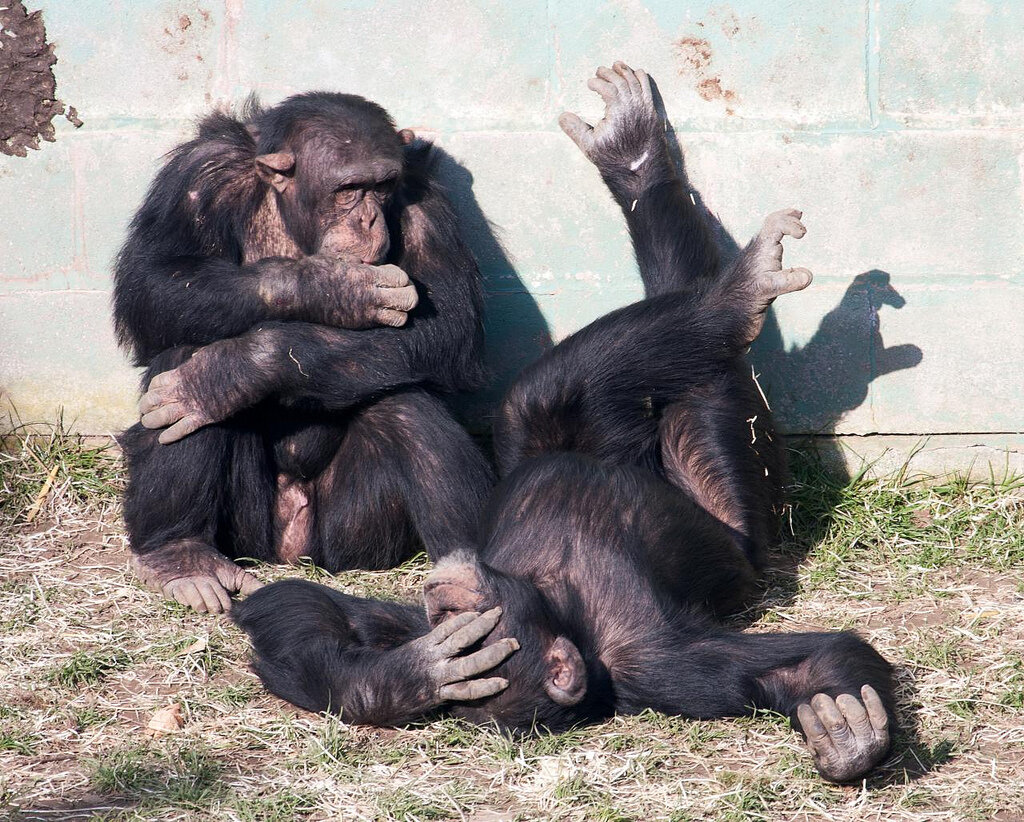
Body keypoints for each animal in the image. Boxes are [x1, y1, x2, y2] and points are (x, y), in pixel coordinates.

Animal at [234, 61, 897, 782]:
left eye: (466, 615)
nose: (444, 593)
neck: (554, 595)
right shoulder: (651, 656)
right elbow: (296, 611)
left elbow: (298, 606)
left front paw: (842, 725)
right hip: (728, 493)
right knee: (583, 386)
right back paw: (733, 295)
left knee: (570, 390)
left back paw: (635, 160)